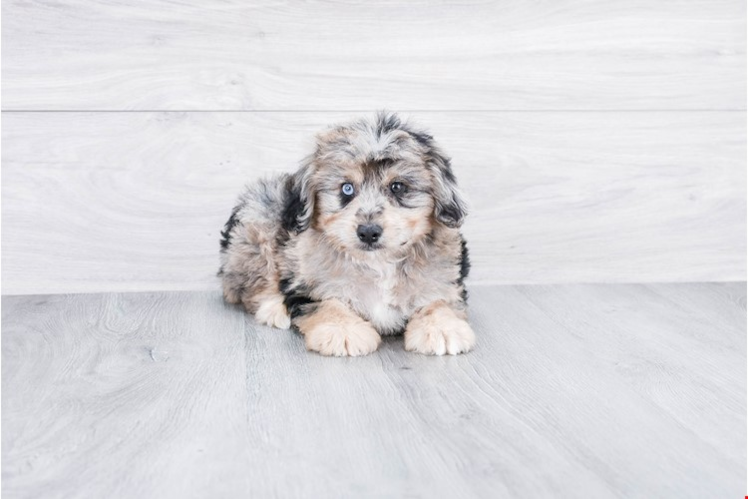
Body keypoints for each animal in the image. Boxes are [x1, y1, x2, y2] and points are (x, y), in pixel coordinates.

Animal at [219, 113, 474, 356]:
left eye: (398, 187)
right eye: (347, 188)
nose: (368, 232)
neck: (378, 264)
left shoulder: (445, 279)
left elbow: (439, 302)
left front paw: (441, 327)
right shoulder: (310, 284)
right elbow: (328, 303)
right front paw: (341, 330)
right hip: (257, 221)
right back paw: (273, 309)